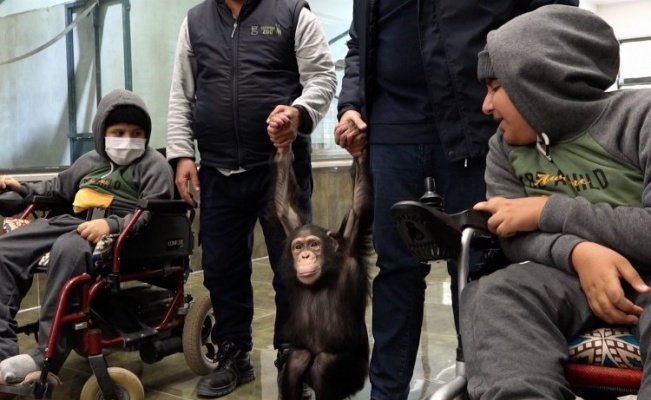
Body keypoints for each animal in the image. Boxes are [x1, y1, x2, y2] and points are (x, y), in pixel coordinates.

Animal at [272, 148, 374, 400]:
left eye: (313, 244)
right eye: (298, 246)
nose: (305, 256)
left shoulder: (351, 244)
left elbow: (361, 204)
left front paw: (357, 149)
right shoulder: (291, 228)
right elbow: (283, 207)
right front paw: (283, 150)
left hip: (355, 376)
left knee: (324, 365)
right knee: (297, 359)